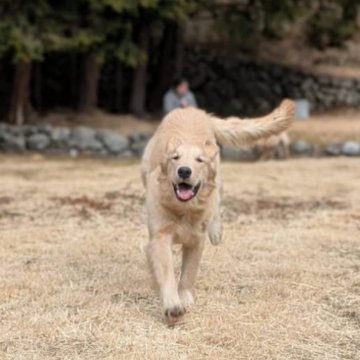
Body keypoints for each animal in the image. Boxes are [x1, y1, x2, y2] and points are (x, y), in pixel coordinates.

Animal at [141, 99, 296, 324]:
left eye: (199, 160)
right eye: (175, 158)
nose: (184, 171)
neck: (184, 209)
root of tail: (195, 111)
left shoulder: (196, 240)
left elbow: (188, 273)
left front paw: (184, 297)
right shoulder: (160, 235)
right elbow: (167, 271)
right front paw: (173, 305)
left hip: (218, 179)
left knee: (216, 203)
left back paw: (215, 231)